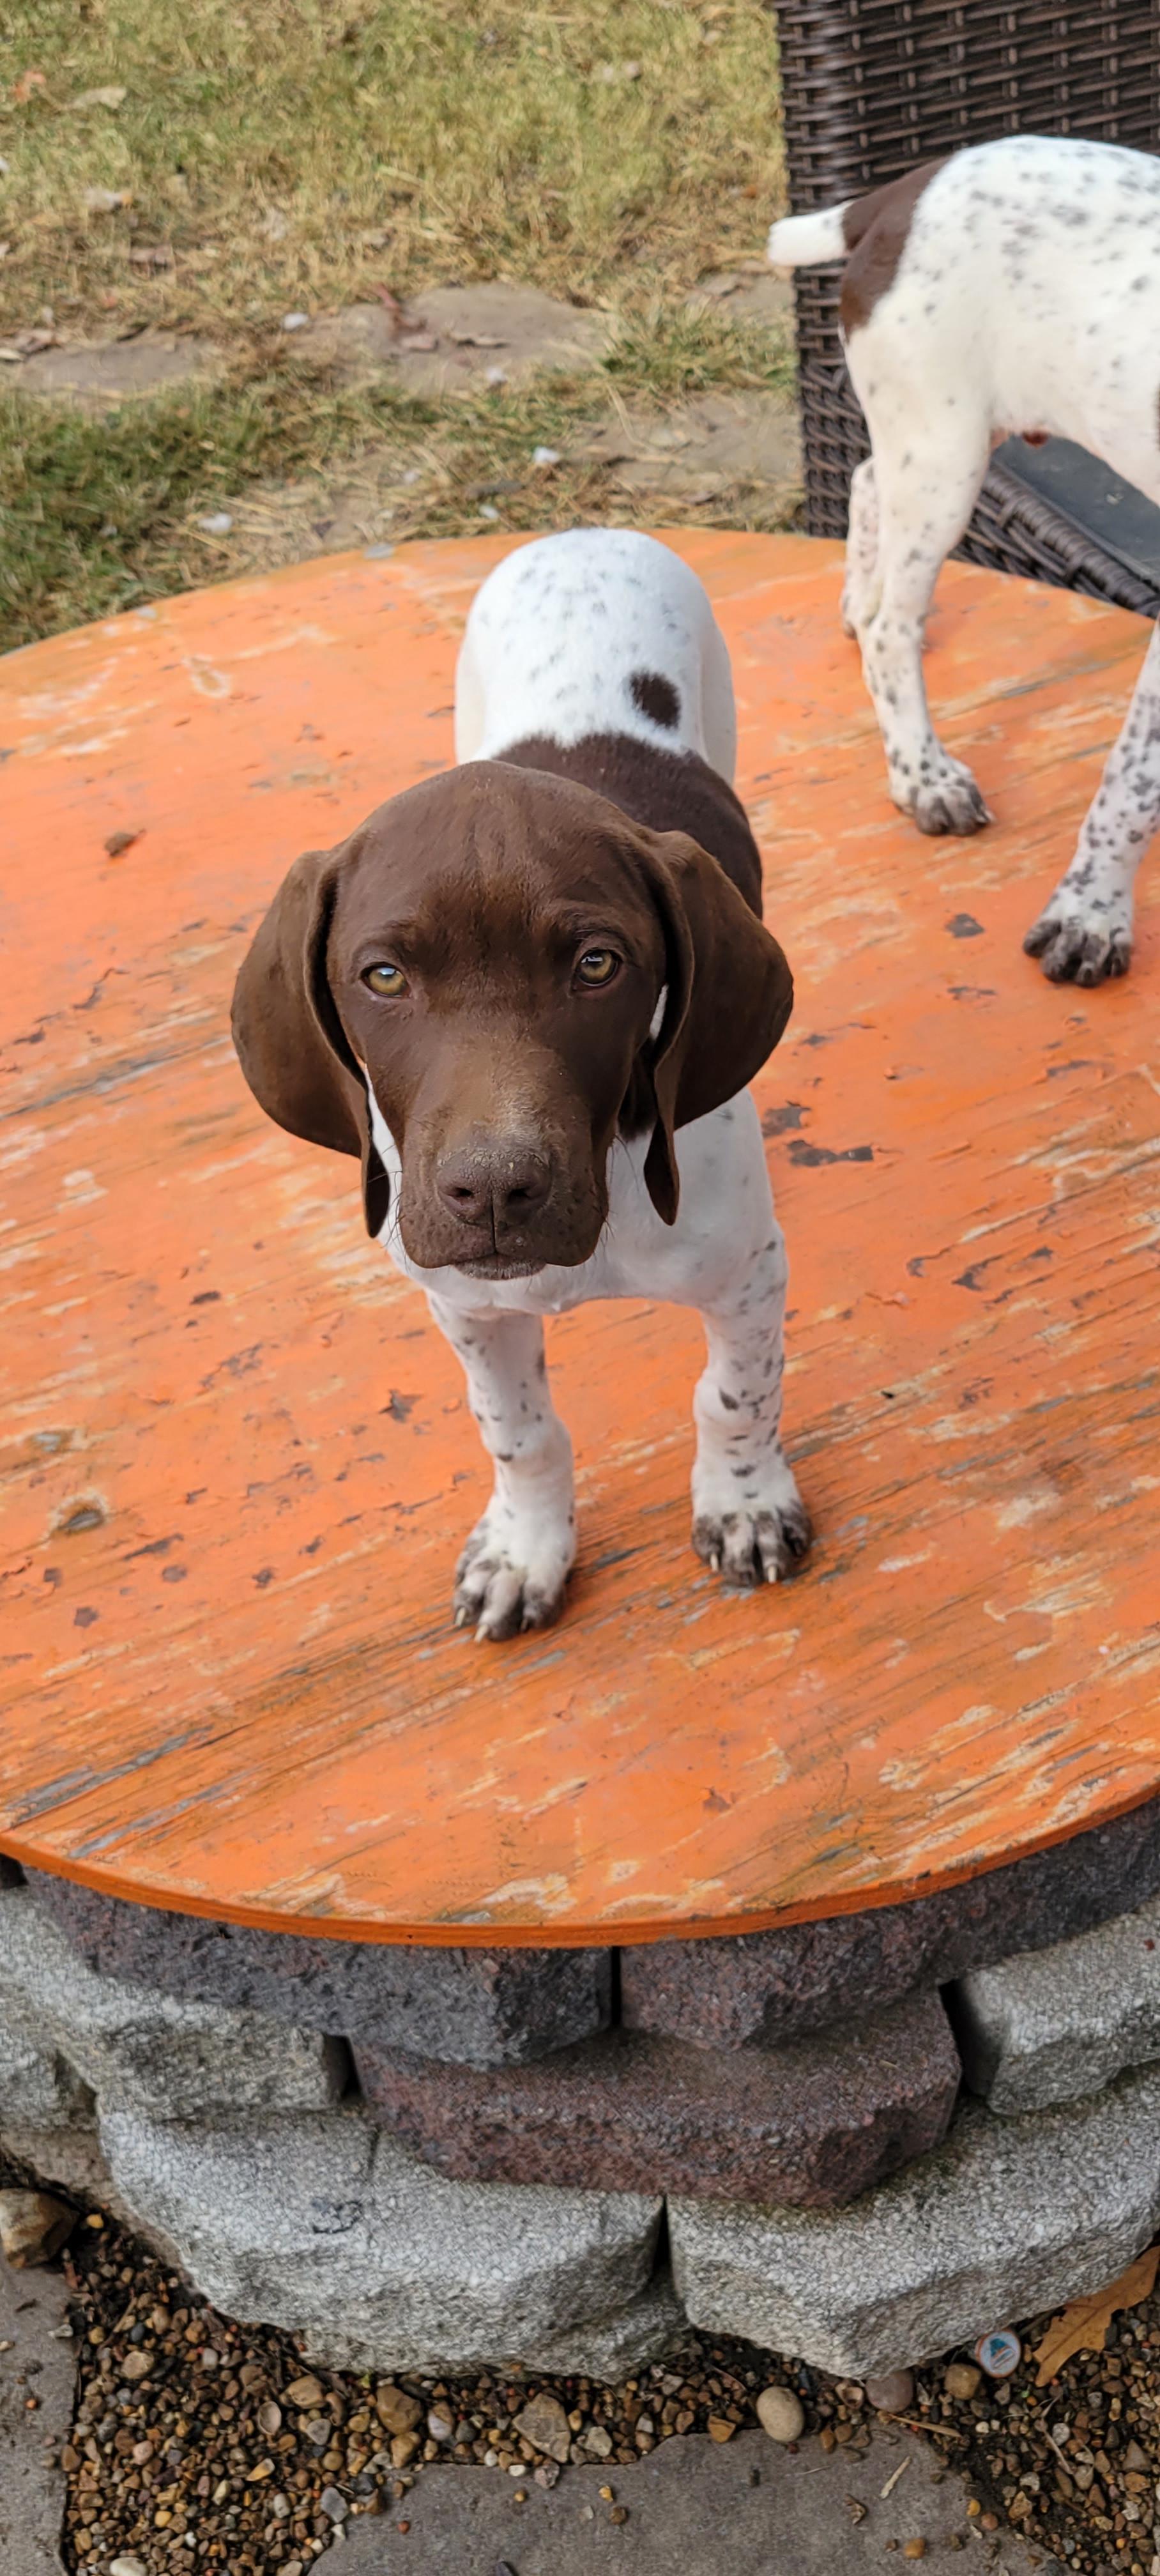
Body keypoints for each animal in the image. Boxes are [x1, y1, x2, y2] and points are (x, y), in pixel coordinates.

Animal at [232, 529, 811, 1640]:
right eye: (383, 977)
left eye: (598, 965)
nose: (496, 1191)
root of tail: (583, 536)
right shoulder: (466, 1306)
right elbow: (520, 1432)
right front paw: (526, 1548)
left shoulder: (750, 1270)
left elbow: (732, 1396)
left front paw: (745, 1502)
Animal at [770, 133, 1160, 986]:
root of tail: (898, 195)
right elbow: (1134, 777)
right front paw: (1090, 916)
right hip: (946, 453)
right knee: (891, 626)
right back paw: (923, 775)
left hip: (935, 443)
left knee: (866, 481)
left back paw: (855, 597)